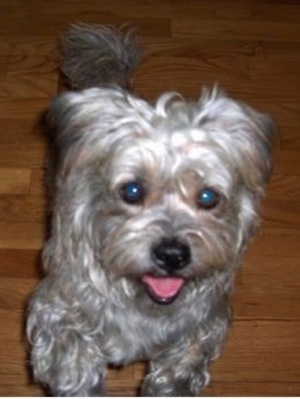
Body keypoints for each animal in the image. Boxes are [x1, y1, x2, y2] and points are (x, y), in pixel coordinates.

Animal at [26, 25, 276, 396]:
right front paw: (81, 379)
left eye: (207, 197)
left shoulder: (207, 320)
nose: (172, 255)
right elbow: (70, 349)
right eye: (132, 190)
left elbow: (187, 356)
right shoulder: (54, 303)